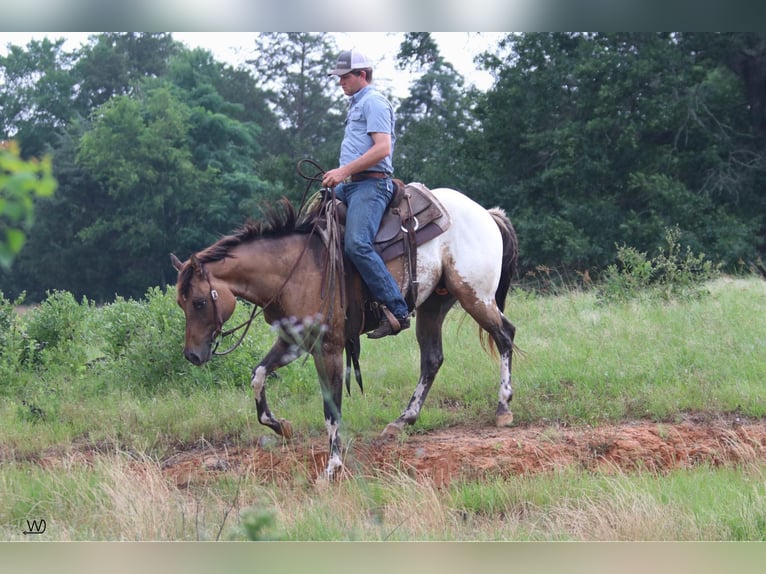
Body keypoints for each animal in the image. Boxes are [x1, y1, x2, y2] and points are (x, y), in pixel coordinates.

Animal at [172, 187, 520, 480]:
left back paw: (503, 407)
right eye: (180, 303)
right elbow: (258, 375)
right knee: (432, 359)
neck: (293, 271)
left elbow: (332, 410)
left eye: (200, 302)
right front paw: (280, 426)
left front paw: (333, 466)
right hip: (434, 304)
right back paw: (402, 421)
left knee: (505, 334)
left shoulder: (328, 347)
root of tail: (486, 213)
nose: (192, 355)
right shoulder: (294, 341)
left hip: (474, 295)